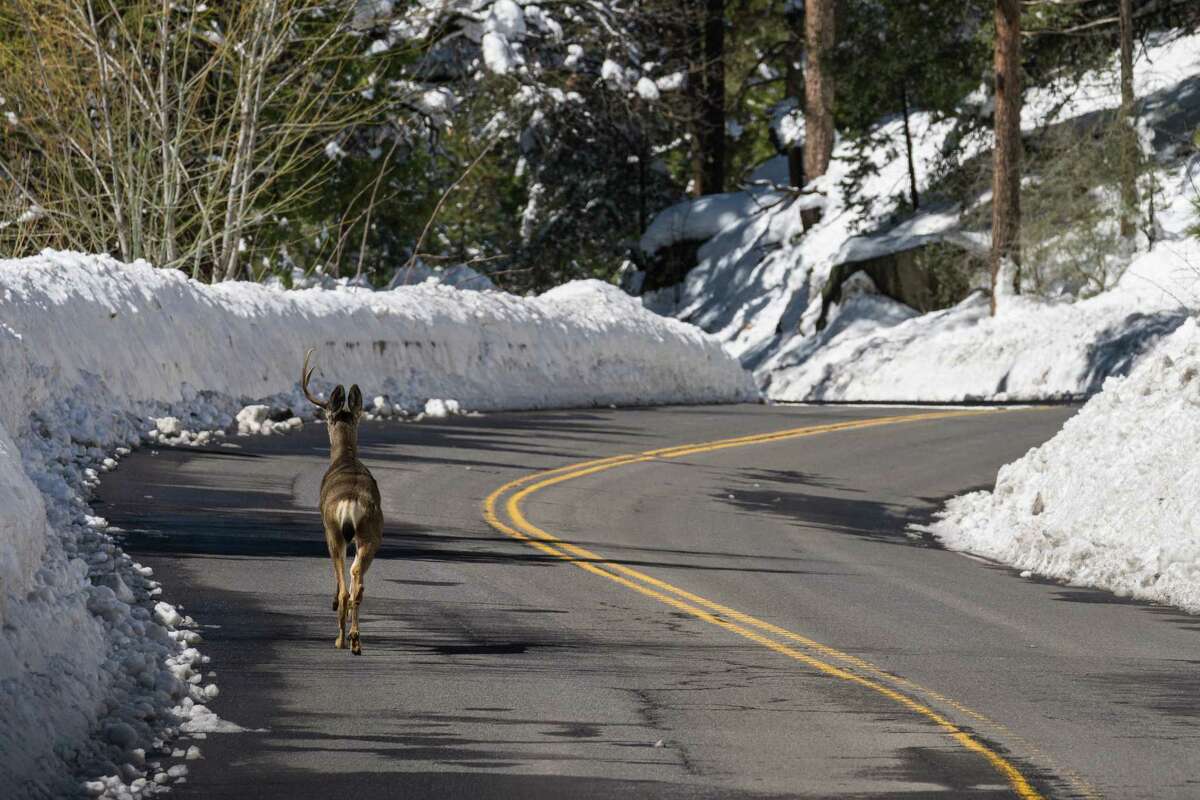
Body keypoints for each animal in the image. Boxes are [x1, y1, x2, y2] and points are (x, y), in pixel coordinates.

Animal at [300, 347, 379, 652]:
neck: (344, 458)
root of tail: (351, 501)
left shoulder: (325, 528)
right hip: (370, 534)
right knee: (358, 582)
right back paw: (355, 641)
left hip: (334, 532)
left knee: (346, 586)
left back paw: (341, 639)